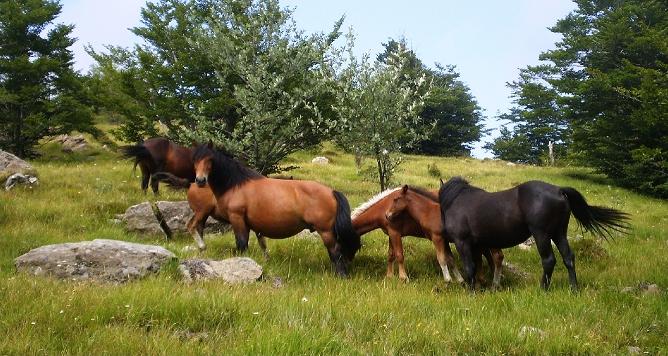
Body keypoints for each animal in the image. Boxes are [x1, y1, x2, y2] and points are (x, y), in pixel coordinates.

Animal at [190, 143, 362, 276]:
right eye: (195, 159)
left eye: (210, 159)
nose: (200, 180)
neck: (236, 184)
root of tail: (331, 191)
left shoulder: (237, 218)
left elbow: (241, 244)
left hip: (326, 231)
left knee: (336, 252)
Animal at [358, 186, 504, 286]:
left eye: (396, 199)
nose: (387, 215)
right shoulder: (390, 233)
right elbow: (390, 255)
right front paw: (389, 277)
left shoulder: (396, 232)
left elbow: (400, 255)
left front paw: (403, 278)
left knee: (494, 256)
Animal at [436, 177, 628, 290]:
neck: (457, 201)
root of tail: (558, 190)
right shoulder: (477, 245)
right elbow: (478, 266)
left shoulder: (463, 242)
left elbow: (470, 267)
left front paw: (471, 292)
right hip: (559, 233)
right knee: (568, 258)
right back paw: (574, 288)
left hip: (542, 234)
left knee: (549, 260)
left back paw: (543, 288)